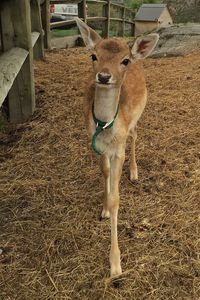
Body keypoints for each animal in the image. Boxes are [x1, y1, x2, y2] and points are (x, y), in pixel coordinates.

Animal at [76, 18, 159, 276]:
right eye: (93, 55)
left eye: (124, 61)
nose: (103, 76)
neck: (105, 127)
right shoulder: (95, 144)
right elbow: (104, 173)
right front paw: (103, 208)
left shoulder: (118, 150)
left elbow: (116, 200)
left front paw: (115, 264)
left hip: (136, 118)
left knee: (135, 135)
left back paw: (134, 172)